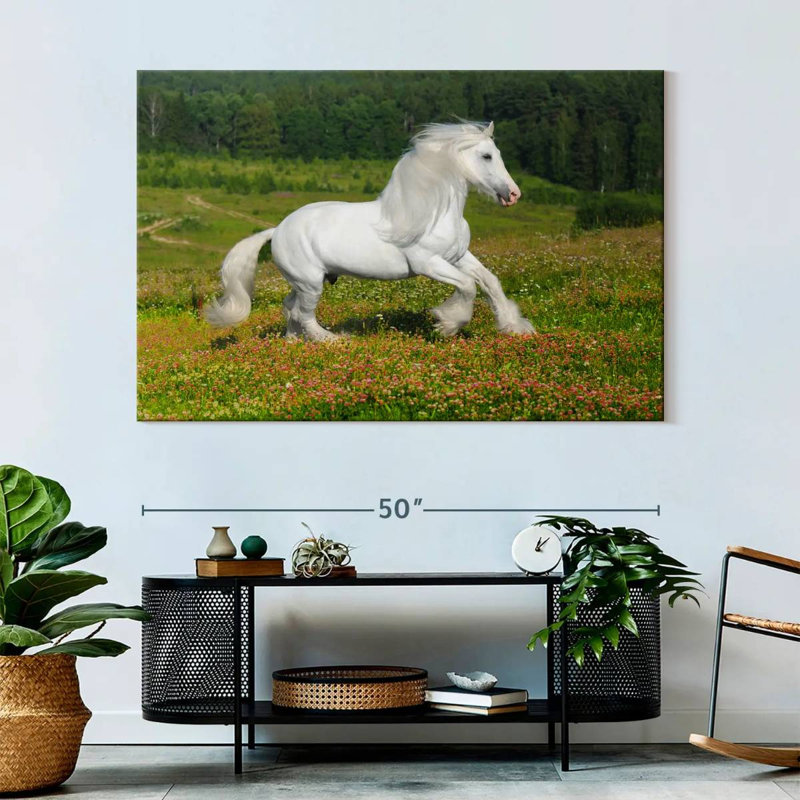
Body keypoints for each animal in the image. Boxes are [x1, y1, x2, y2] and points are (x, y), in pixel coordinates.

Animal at [205, 121, 535, 341]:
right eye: (486, 156)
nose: (513, 194)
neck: (433, 212)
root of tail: (276, 230)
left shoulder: (457, 256)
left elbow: (489, 282)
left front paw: (516, 327)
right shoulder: (428, 263)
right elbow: (467, 286)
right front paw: (446, 323)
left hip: (303, 282)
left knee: (289, 308)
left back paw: (293, 341)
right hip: (310, 283)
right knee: (303, 313)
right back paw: (332, 341)